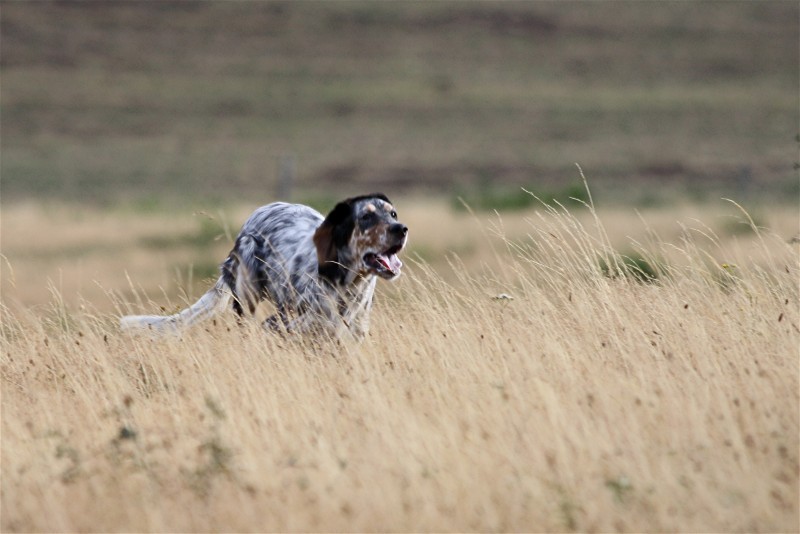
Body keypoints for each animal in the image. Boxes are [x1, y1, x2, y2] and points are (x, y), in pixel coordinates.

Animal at [122, 195, 410, 342]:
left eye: (393, 214)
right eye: (366, 217)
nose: (401, 229)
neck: (347, 282)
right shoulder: (297, 322)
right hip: (248, 287)